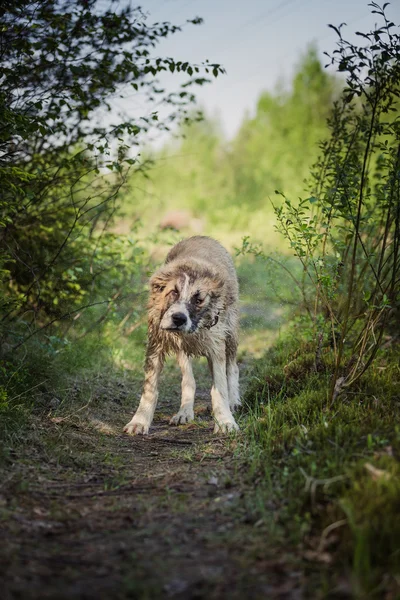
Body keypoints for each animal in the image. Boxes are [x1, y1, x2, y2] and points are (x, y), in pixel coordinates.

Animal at [123, 236, 239, 436]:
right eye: (173, 292)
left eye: (198, 300)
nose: (178, 318)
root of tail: (203, 237)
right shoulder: (156, 344)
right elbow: (149, 390)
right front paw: (139, 421)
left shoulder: (216, 345)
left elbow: (220, 388)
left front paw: (225, 421)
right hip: (181, 349)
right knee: (188, 380)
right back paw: (184, 412)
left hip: (230, 332)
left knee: (233, 367)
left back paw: (234, 400)